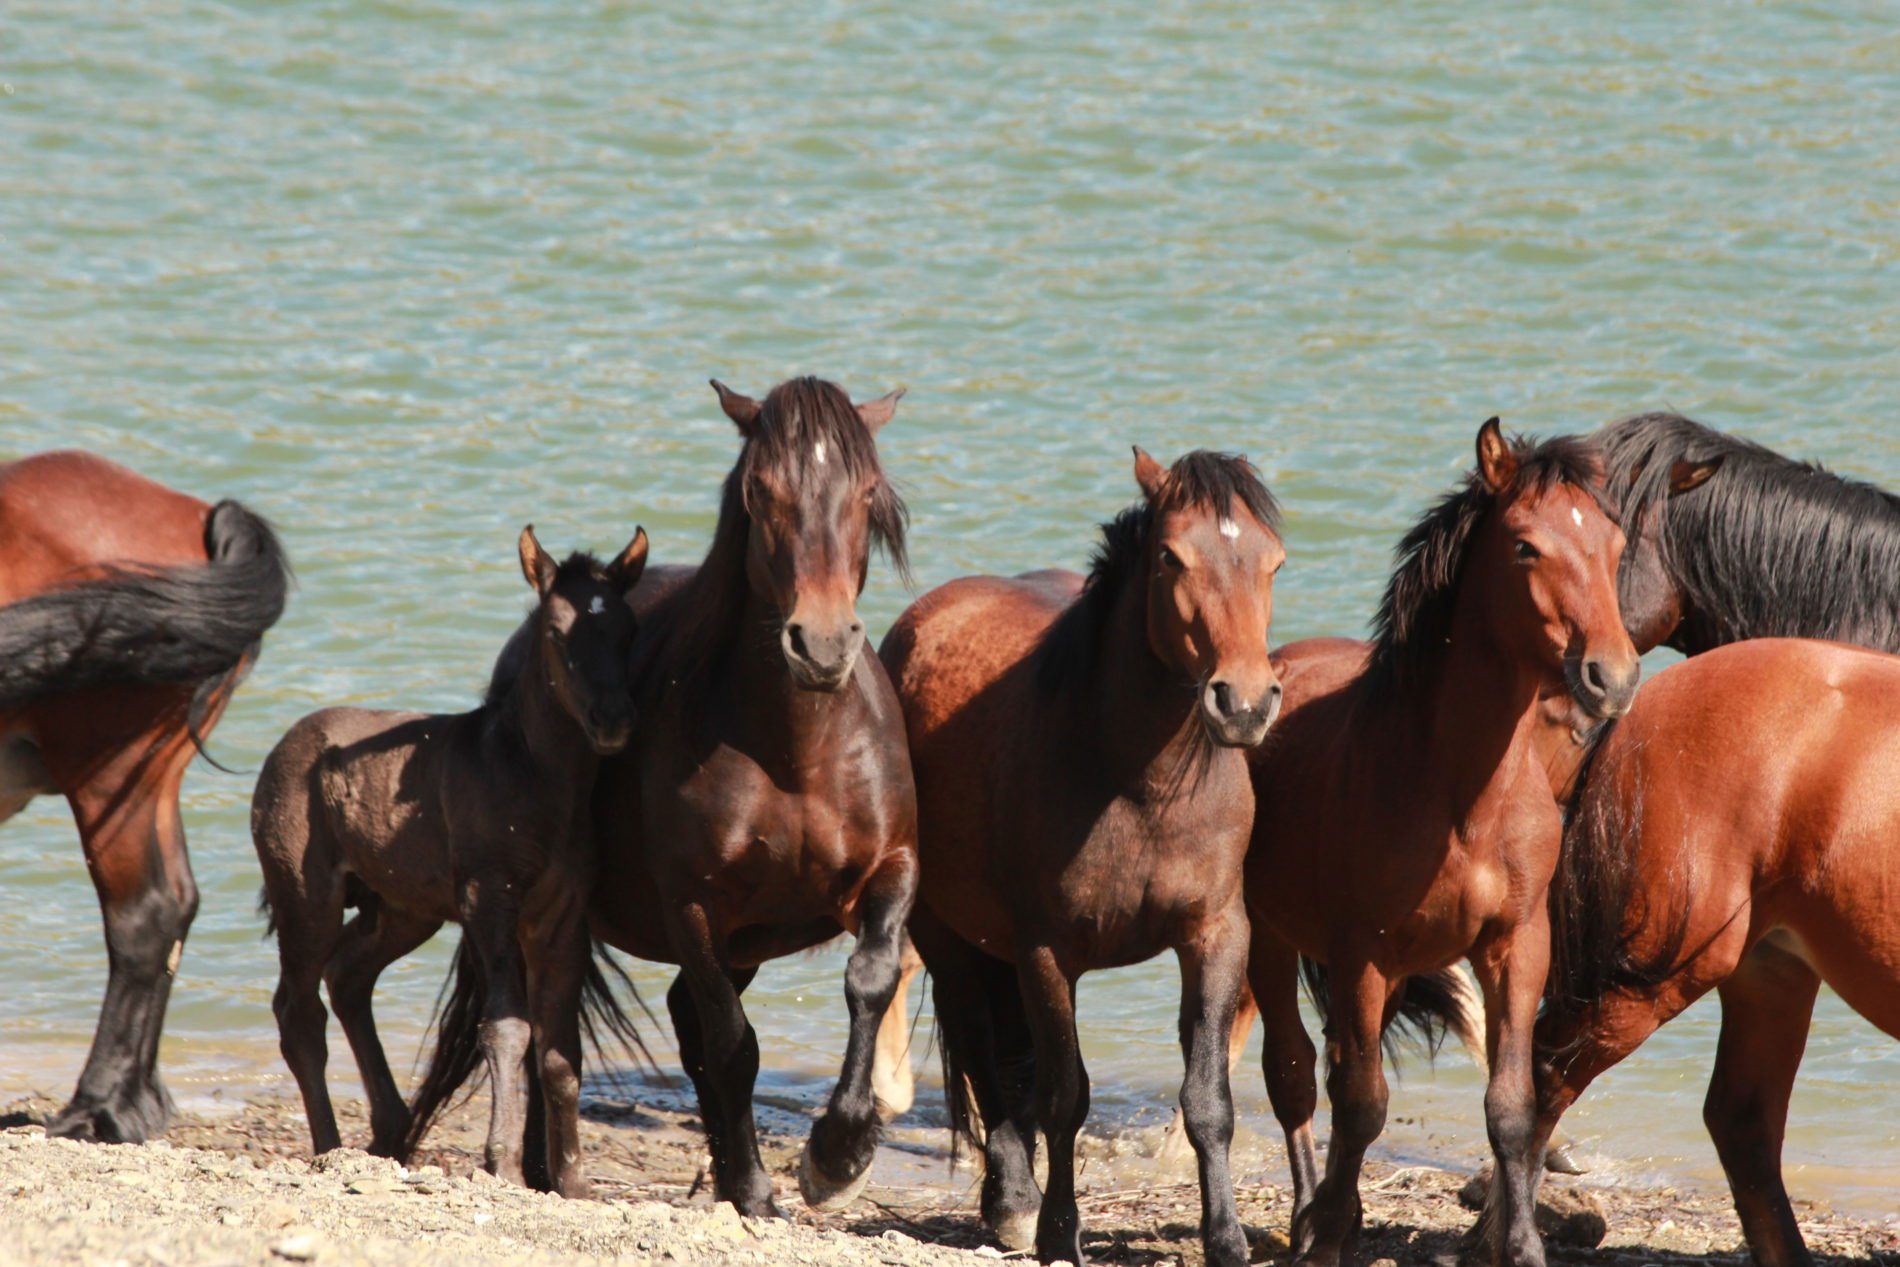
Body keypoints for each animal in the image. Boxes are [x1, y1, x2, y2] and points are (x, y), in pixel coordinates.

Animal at [0, 450, 285, 1147]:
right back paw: (137, 1100)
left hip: (108, 772)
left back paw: (98, 1107)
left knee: (143, 914)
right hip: (152, 776)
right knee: (177, 905)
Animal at [418, 376, 919, 1215]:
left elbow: (870, 978)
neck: (794, 752)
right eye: (762, 489)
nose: (820, 646)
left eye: (867, 492)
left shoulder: (890, 871)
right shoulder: (695, 905)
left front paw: (837, 1153)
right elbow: (732, 1042)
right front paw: (759, 1188)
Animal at [1238, 423, 1641, 1267]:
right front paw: (1327, 1234)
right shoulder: (1360, 952)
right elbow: (1362, 1103)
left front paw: (1521, 1245)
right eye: (1525, 547)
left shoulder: (1516, 945)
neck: (1461, 795)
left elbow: (1511, 1107)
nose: (1611, 675)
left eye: (1615, 543)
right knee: (1295, 1075)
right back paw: (1309, 1215)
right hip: (1269, 936)